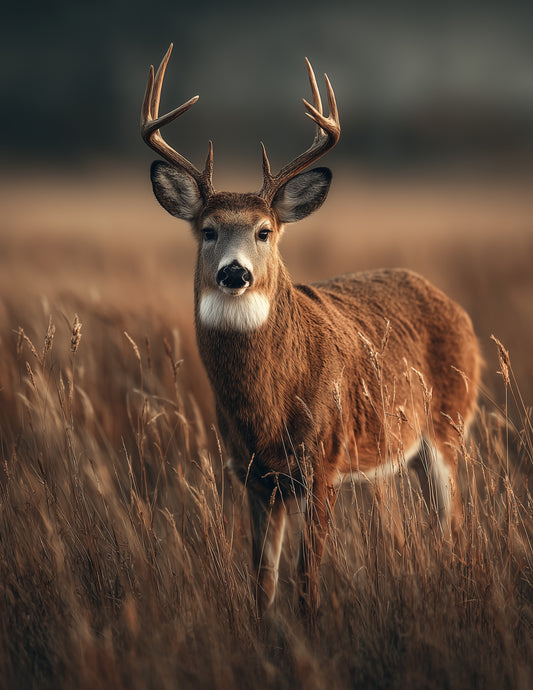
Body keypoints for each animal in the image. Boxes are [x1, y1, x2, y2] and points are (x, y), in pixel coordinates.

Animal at [141, 45, 481, 616]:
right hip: (400, 455)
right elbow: (262, 584)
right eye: (208, 230)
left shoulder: (323, 462)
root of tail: (458, 310)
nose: (235, 273)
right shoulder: (253, 476)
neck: (268, 406)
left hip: (448, 426)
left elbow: (307, 584)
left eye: (265, 231)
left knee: (454, 527)